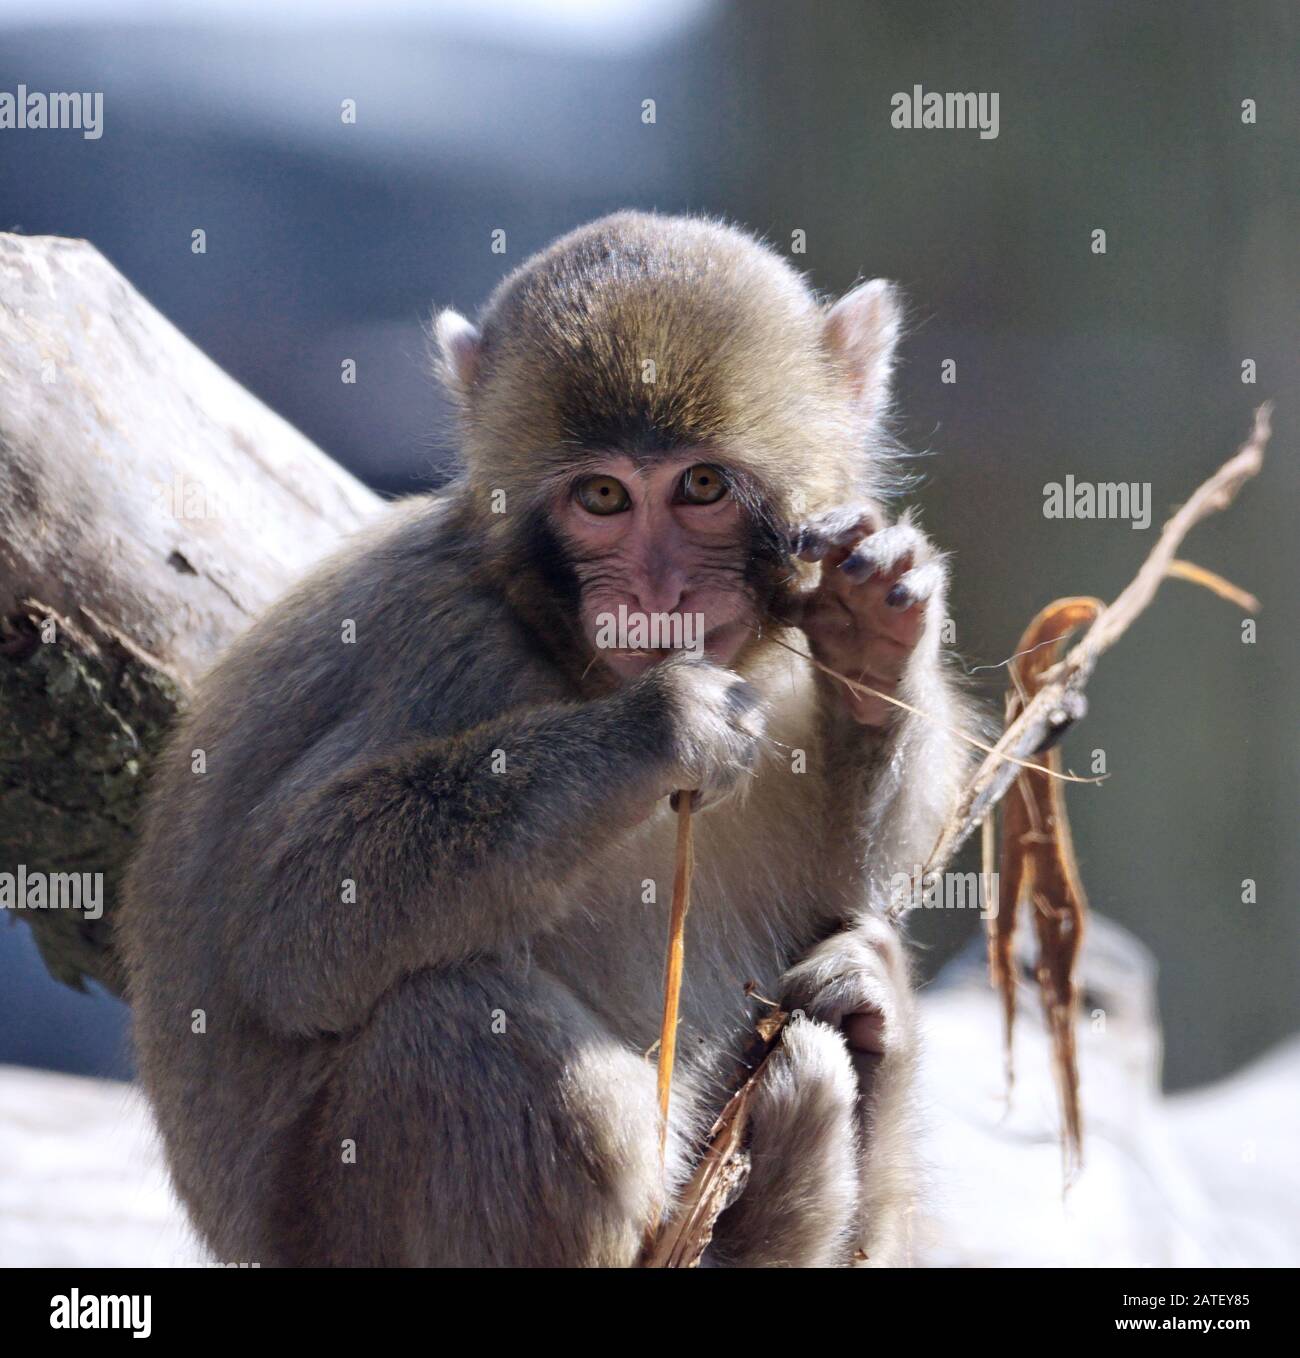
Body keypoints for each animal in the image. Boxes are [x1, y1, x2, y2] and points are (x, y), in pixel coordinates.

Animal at [118, 211, 973, 1268]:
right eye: (602, 498)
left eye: (700, 485)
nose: (656, 593)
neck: (567, 653)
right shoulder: (445, 646)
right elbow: (289, 917)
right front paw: (656, 729)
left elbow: (863, 877)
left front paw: (873, 636)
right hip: (337, 1223)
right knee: (449, 1015)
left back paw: (866, 1027)